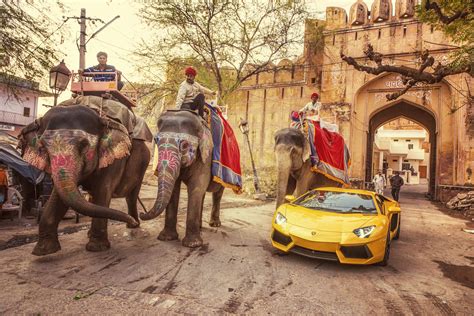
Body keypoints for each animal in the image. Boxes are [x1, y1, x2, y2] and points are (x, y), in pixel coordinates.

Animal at [19, 105, 150, 256]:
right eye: (44, 147)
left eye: (83, 145)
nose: (137, 219)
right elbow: (60, 197)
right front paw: (43, 251)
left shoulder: (115, 160)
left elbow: (103, 191)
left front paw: (97, 248)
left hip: (143, 164)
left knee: (131, 196)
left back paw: (133, 225)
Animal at [139, 110, 226, 248]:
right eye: (156, 141)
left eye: (184, 145)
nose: (141, 213)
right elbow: (175, 189)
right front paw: (166, 238)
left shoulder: (205, 157)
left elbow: (196, 187)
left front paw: (192, 245)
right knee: (203, 195)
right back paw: (200, 227)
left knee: (217, 193)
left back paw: (215, 224)